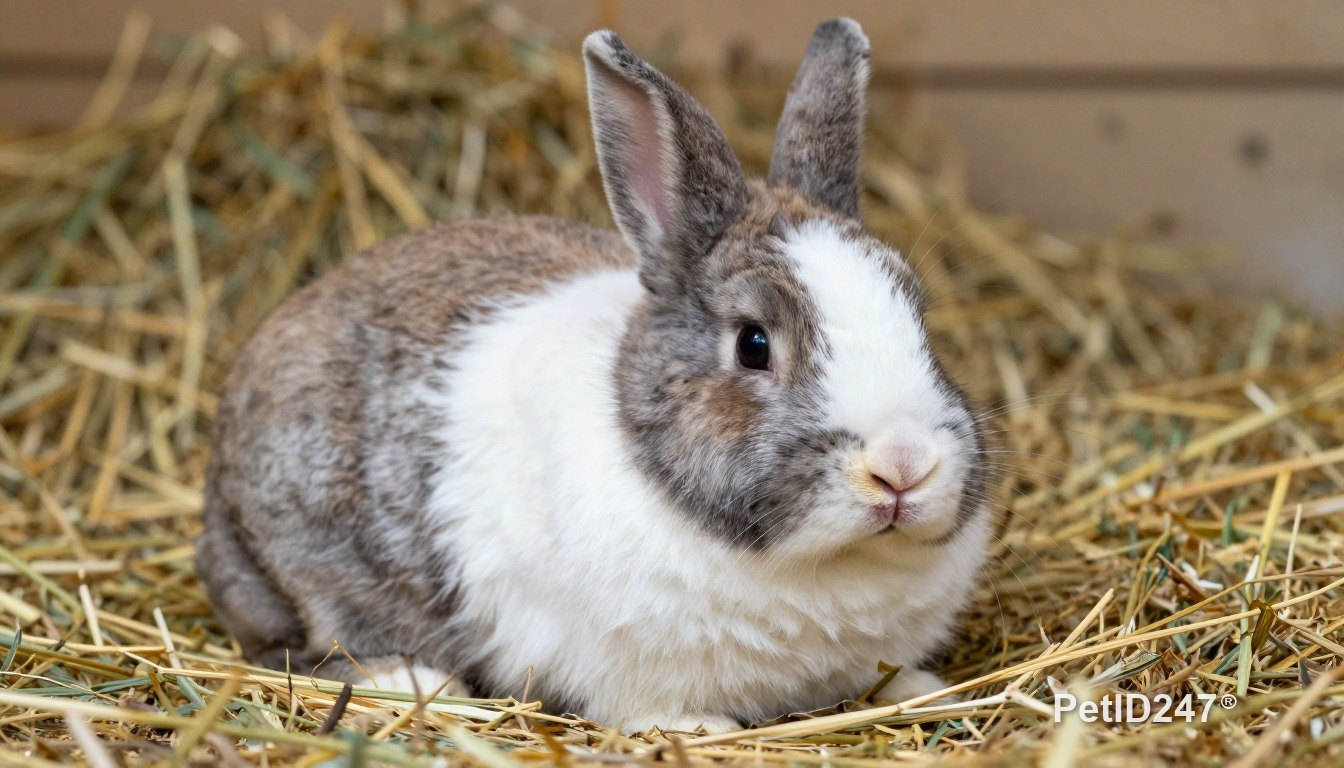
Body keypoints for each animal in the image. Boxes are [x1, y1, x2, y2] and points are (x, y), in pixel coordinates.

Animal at [195, 18, 993, 733]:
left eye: (919, 318)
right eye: (753, 344)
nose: (903, 466)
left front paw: (923, 690)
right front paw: (699, 729)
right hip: (305, 559)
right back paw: (415, 680)